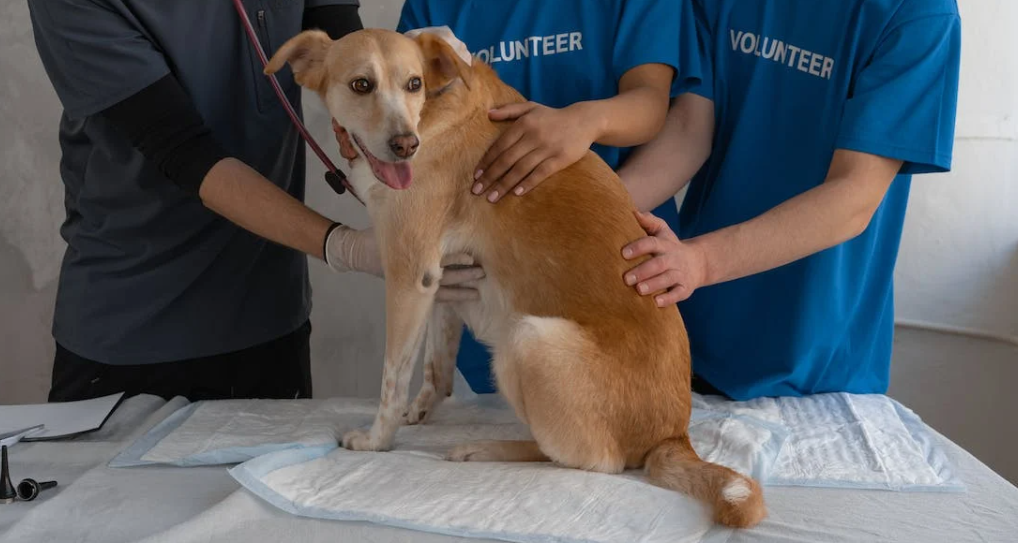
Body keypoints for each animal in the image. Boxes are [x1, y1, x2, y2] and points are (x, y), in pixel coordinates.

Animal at [266, 27, 765, 525]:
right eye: (361, 85)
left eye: (413, 84)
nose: (406, 145)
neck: (434, 108)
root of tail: (672, 436)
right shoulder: (442, 280)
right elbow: (435, 367)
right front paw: (419, 410)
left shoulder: (409, 274)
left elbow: (392, 378)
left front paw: (376, 440)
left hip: (527, 339)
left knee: (594, 460)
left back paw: (488, 448)